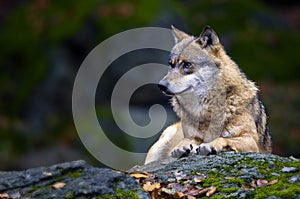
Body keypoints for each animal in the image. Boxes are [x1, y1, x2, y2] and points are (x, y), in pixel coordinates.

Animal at [145, 25, 272, 164]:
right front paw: (181, 146)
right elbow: (186, 139)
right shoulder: (192, 135)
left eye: (187, 64)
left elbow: (223, 138)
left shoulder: (250, 141)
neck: (206, 110)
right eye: (171, 65)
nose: (161, 85)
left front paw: (210, 145)